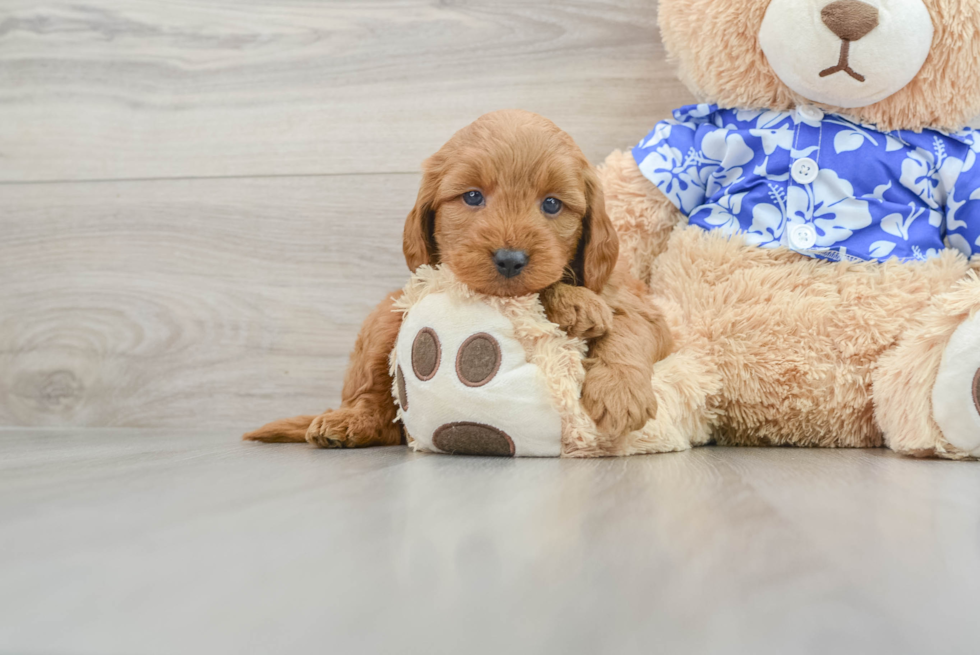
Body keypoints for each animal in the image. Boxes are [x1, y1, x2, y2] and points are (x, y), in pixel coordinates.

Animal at [245, 111, 672, 452]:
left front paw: (619, 391)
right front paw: (574, 304)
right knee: (377, 403)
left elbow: (628, 331)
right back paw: (349, 420)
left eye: (552, 204)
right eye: (472, 197)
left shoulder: (637, 304)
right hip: (386, 317)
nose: (510, 259)